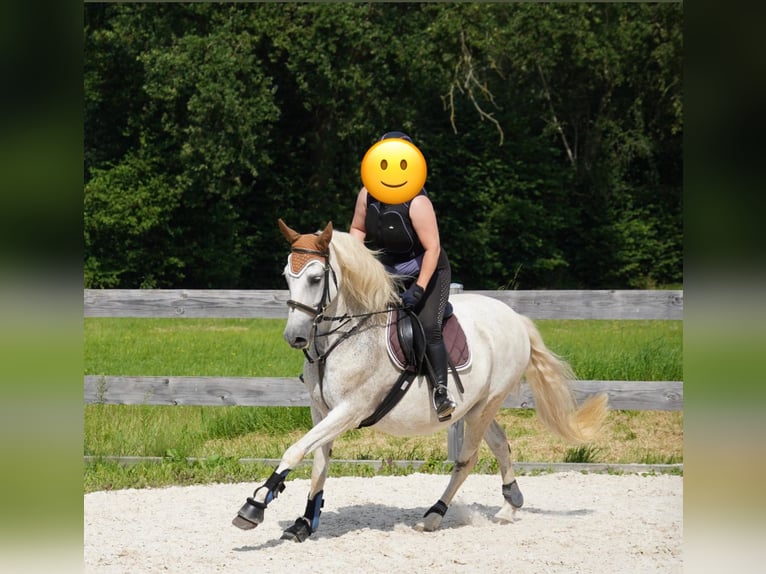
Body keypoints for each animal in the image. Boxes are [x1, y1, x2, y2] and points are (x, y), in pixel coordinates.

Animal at [232, 219, 608, 542]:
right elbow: (318, 465)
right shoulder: (321, 411)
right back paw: (509, 505)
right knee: (501, 444)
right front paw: (304, 523)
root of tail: (515, 317)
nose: (294, 337)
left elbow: (295, 451)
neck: (345, 336)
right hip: (476, 406)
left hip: (485, 405)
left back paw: (434, 516)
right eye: (287, 276)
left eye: (314, 278)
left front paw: (255, 506)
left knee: (466, 460)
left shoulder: (349, 410)